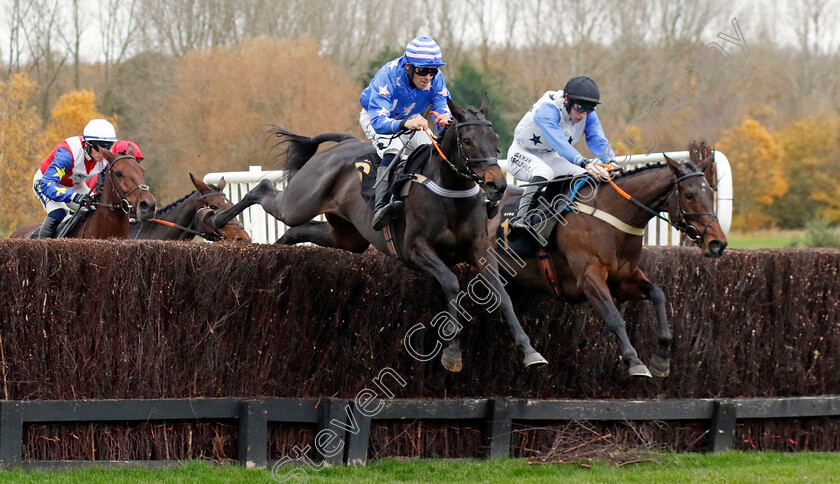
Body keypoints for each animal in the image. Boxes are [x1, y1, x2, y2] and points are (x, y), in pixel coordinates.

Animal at [212, 95, 544, 374]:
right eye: (467, 140)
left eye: (495, 139)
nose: (497, 185)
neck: (451, 192)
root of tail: (344, 143)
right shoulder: (415, 248)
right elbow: (451, 283)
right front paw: (452, 353)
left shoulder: (480, 247)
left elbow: (501, 294)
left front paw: (529, 350)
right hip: (299, 202)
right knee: (263, 189)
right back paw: (215, 218)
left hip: (347, 236)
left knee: (296, 230)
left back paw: (278, 248)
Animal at [488, 155, 724, 378]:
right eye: (690, 195)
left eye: (711, 194)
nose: (717, 243)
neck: (612, 215)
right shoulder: (589, 278)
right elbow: (615, 318)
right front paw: (635, 361)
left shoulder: (623, 280)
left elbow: (658, 294)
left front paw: (662, 359)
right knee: (503, 302)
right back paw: (530, 352)